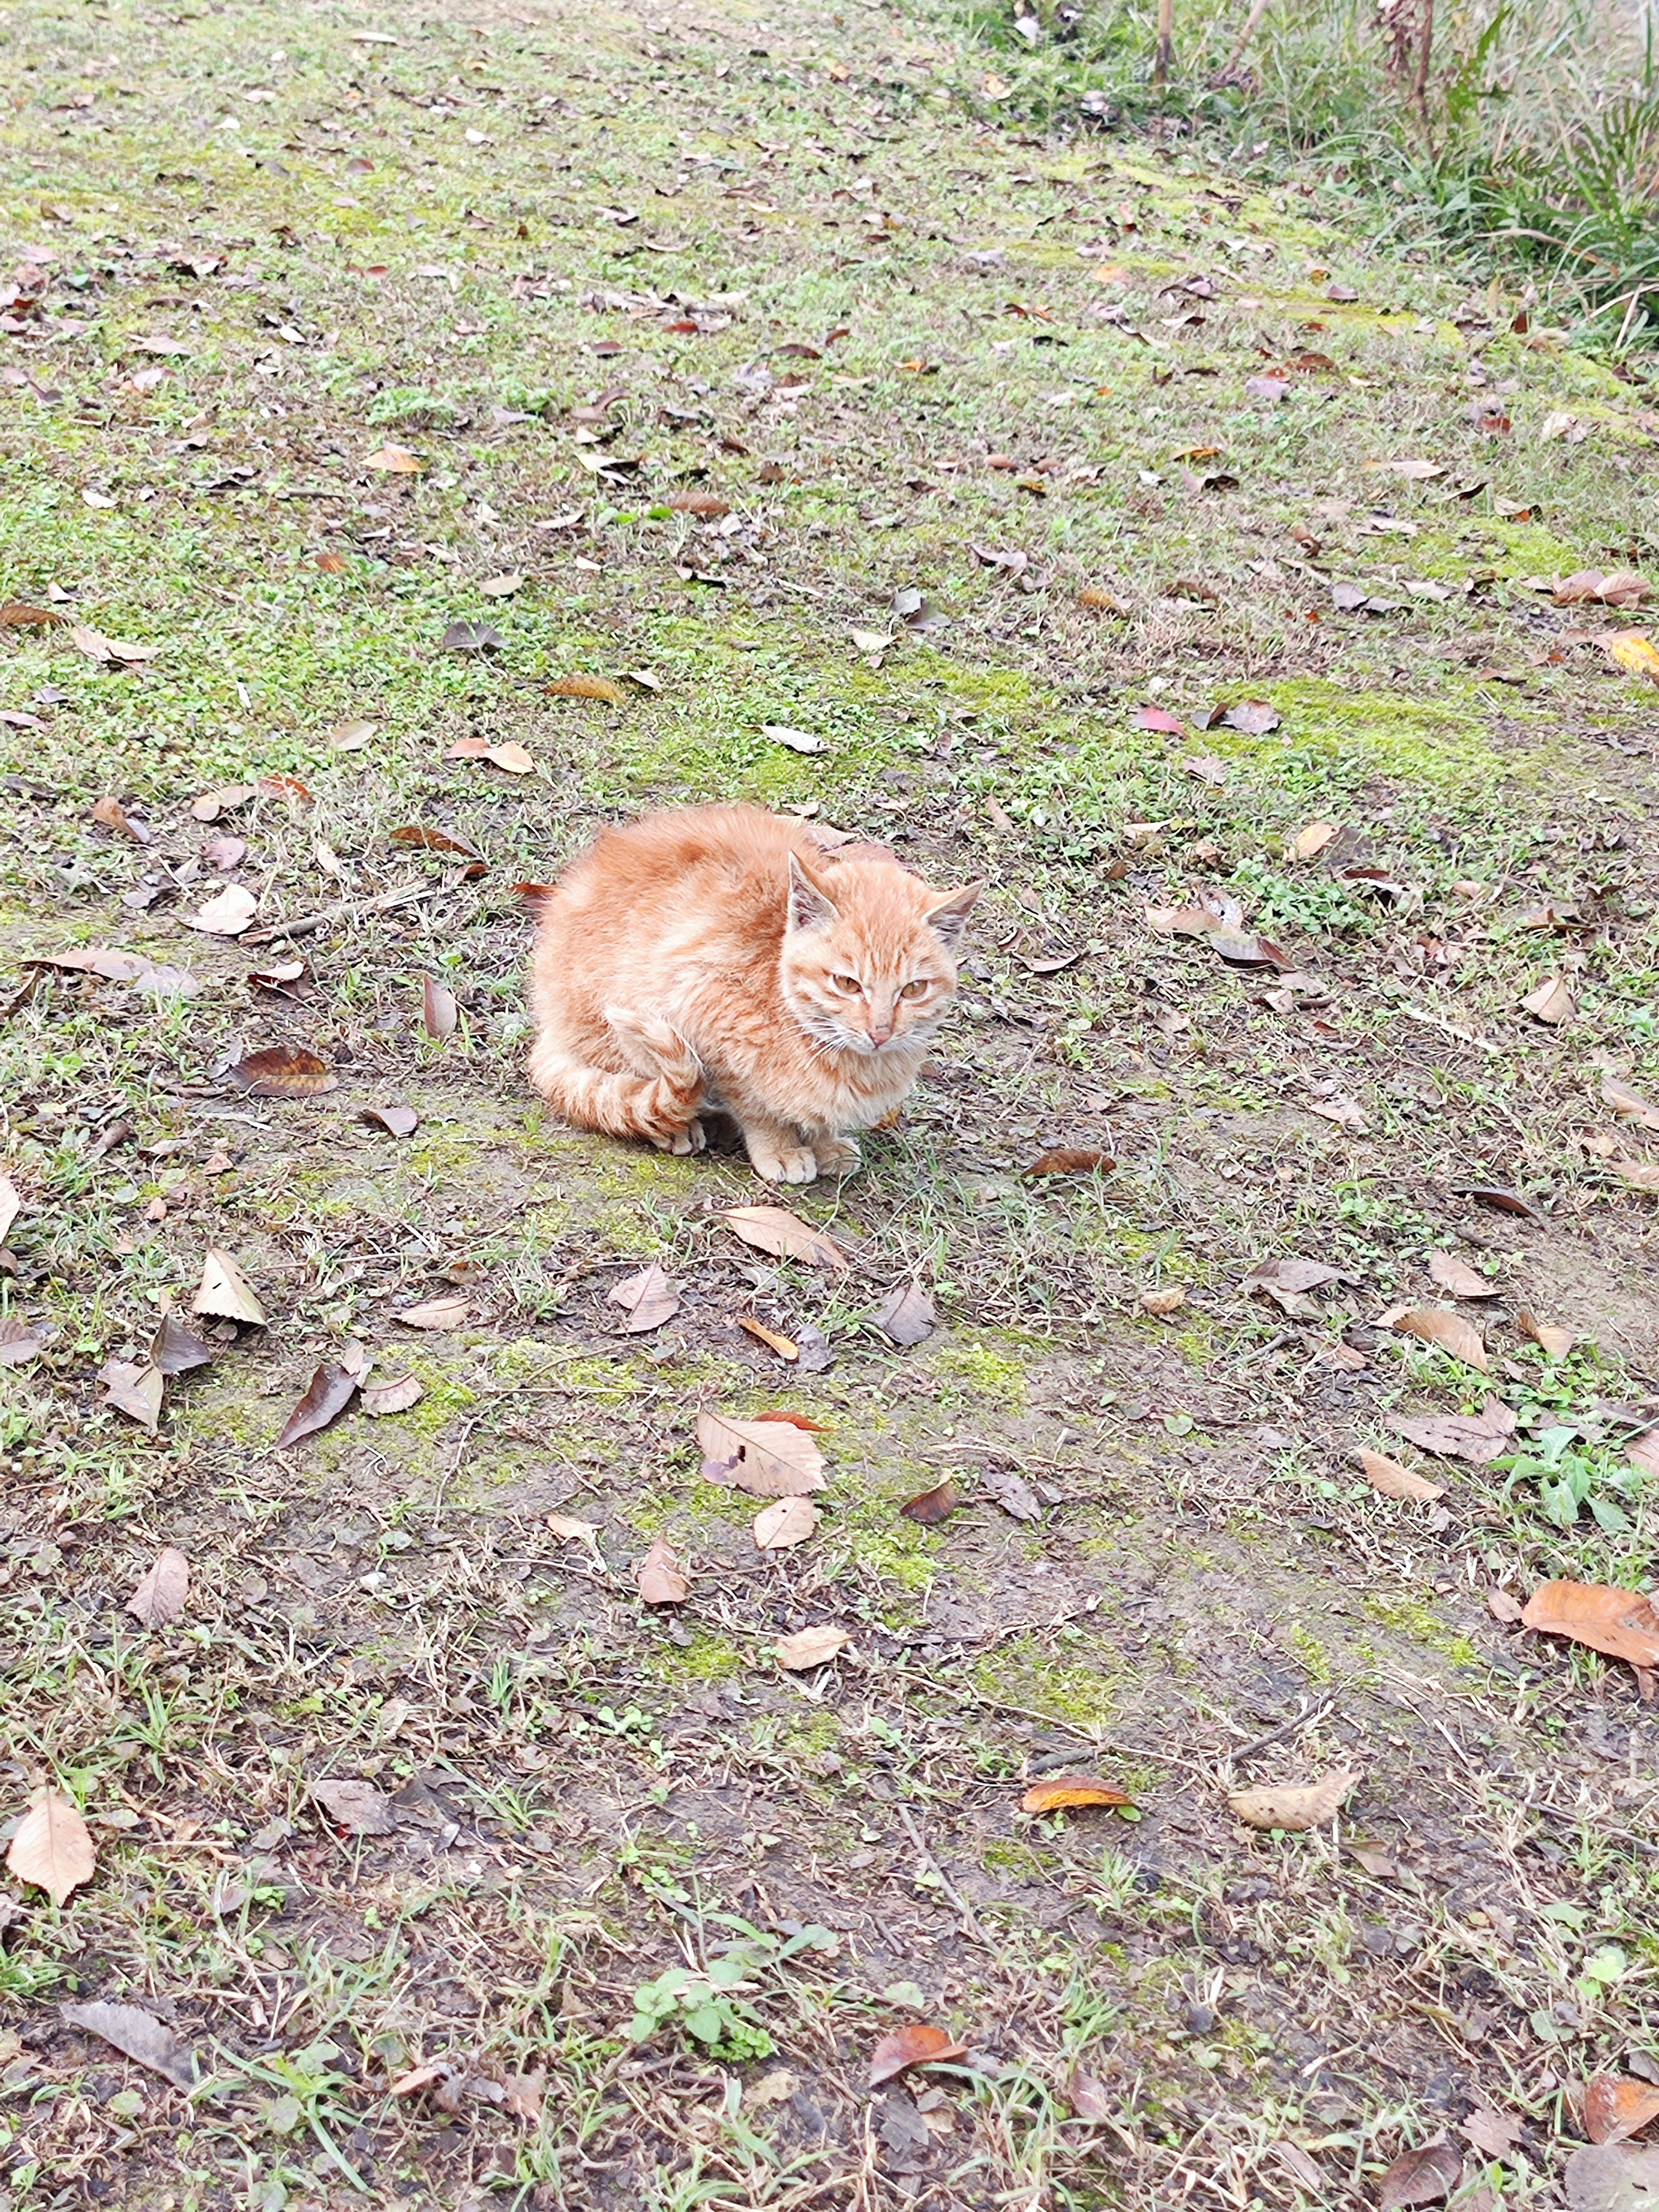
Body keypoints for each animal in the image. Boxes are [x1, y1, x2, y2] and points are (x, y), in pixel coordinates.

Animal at [526, 805, 982, 1186]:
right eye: (848, 984)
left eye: (914, 989)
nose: (881, 1032)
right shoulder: (702, 1001)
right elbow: (756, 1105)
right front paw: (780, 1148)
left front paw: (824, 1142)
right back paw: (680, 1127)